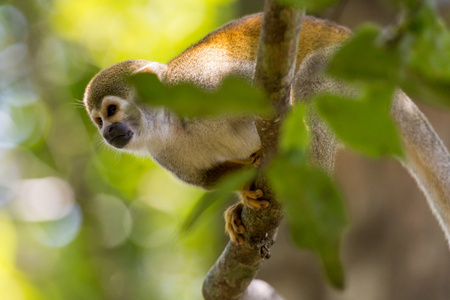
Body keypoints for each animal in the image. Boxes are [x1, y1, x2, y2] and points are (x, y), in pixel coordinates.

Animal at [82, 12, 450, 246]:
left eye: (111, 110)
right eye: (98, 120)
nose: (107, 133)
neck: (172, 122)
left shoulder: (201, 83)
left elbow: (263, 92)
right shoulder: (163, 152)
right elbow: (206, 179)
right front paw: (243, 191)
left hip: (356, 78)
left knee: (311, 75)